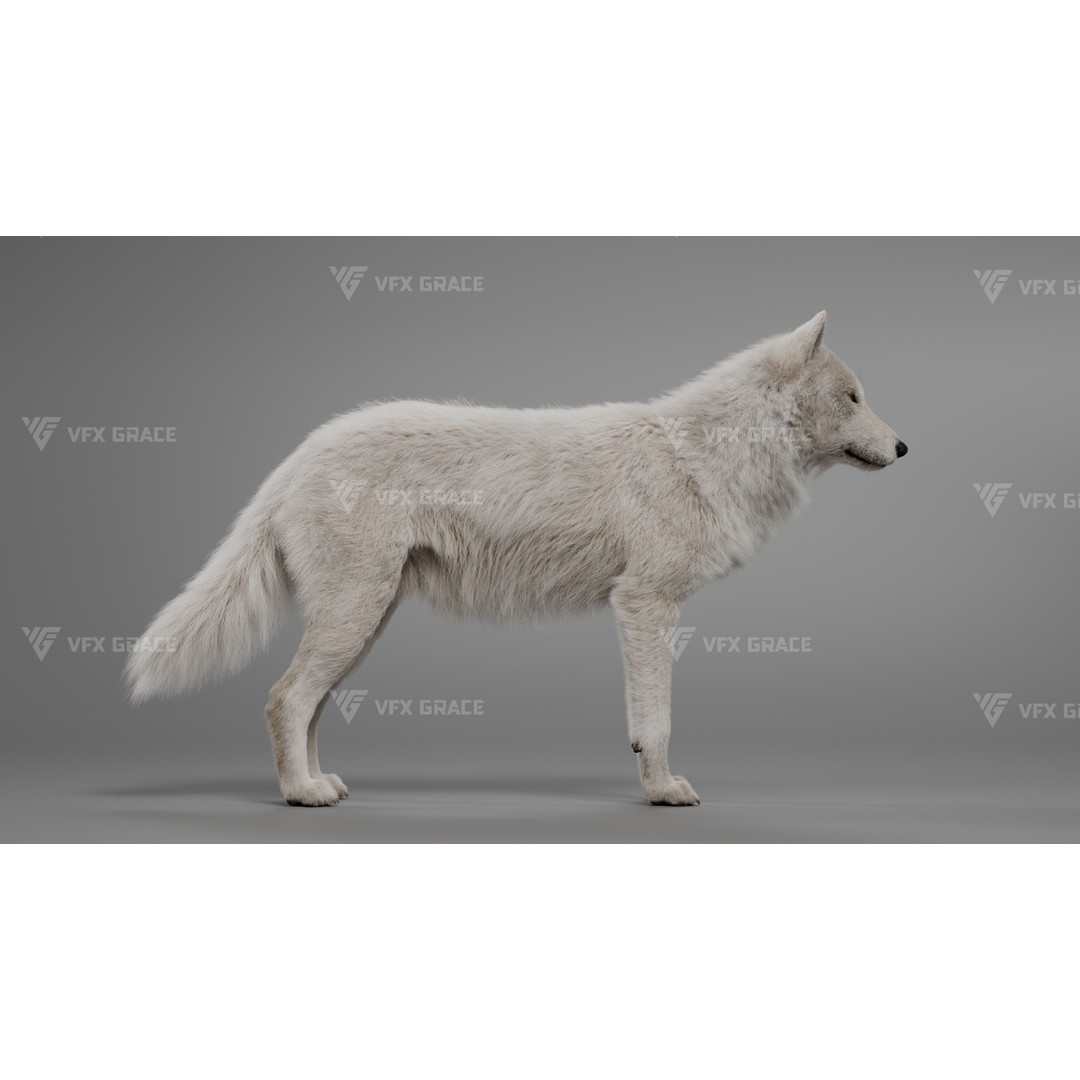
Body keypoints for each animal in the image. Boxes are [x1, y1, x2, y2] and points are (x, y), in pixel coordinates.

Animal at [126, 312, 906, 807]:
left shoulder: (643, 608)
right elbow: (655, 722)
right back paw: (301, 796)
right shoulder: (645, 604)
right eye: (853, 397)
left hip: (365, 621)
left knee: (303, 706)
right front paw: (663, 792)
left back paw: (320, 785)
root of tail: (296, 456)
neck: (708, 456)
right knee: (284, 698)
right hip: (356, 616)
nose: (904, 448)